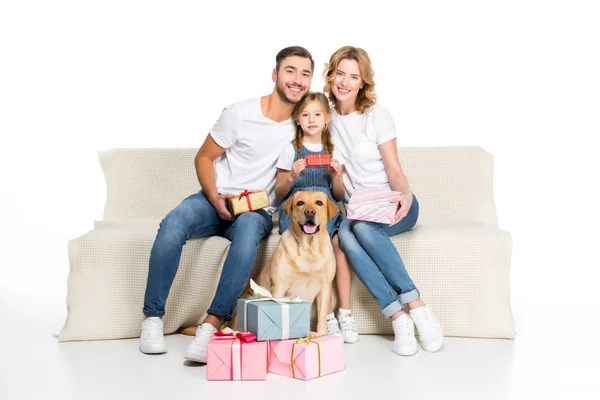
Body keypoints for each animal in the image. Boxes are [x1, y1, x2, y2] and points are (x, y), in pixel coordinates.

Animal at [180, 191, 340, 334]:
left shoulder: (324, 288)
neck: (308, 249)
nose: (310, 212)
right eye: (300, 203)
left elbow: (321, 316)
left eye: (319, 203)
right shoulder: (279, 286)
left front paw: (322, 335)